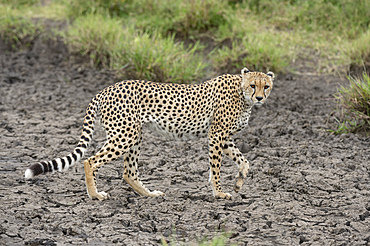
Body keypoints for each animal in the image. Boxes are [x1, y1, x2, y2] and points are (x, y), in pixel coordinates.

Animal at [24, 67, 274, 200]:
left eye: (266, 86)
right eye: (253, 85)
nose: (260, 98)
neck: (242, 94)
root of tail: (105, 89)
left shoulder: (224, 138)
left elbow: (244, 161)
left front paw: (239, 183)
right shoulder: (216, 135)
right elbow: (216, 168)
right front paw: (219, 193)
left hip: (133, 135)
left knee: (128, 172)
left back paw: (149, 195)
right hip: (124, 135)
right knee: (90, 161)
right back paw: (95, 195)